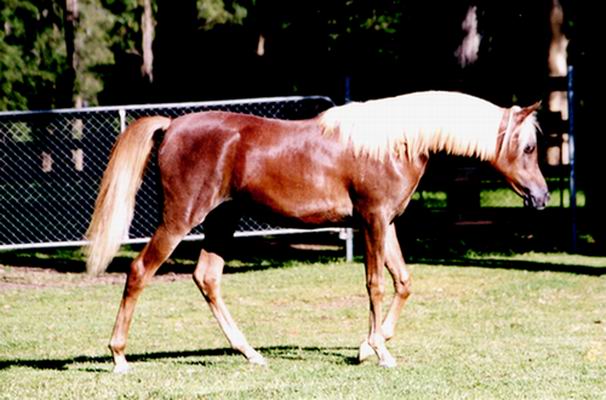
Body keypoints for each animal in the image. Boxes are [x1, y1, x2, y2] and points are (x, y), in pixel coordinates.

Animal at [86, 90, 552, 372]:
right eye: (528, 147)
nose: (542, 196)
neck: (396, 142)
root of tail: (172, 126)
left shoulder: (388, 222)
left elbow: (403, 282)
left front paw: (369, 345)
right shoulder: (372, 220)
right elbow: (375, 284)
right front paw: (379, 351)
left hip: (222, 221)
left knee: (207, 278)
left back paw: (251, 353)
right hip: (181, 219)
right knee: (139, 271)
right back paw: (119, 356)